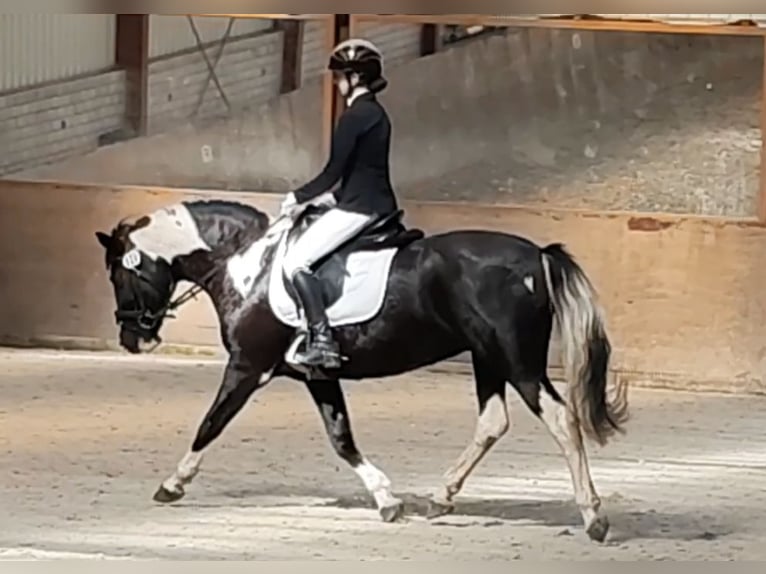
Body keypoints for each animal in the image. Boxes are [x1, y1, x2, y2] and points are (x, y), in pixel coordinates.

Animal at [94, 197, 628, 543]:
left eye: (119, 273)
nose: (132, 340)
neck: (248, 266)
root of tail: (537, 254)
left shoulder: (248, 366)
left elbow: (211, 423)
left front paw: (173, 484)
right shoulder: (318, 375)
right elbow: (341, 437)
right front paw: (387, 500)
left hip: (516, 359)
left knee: (560, 419)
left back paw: (594, 518)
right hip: (486, 357)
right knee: (493, 421)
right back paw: (441, 498)